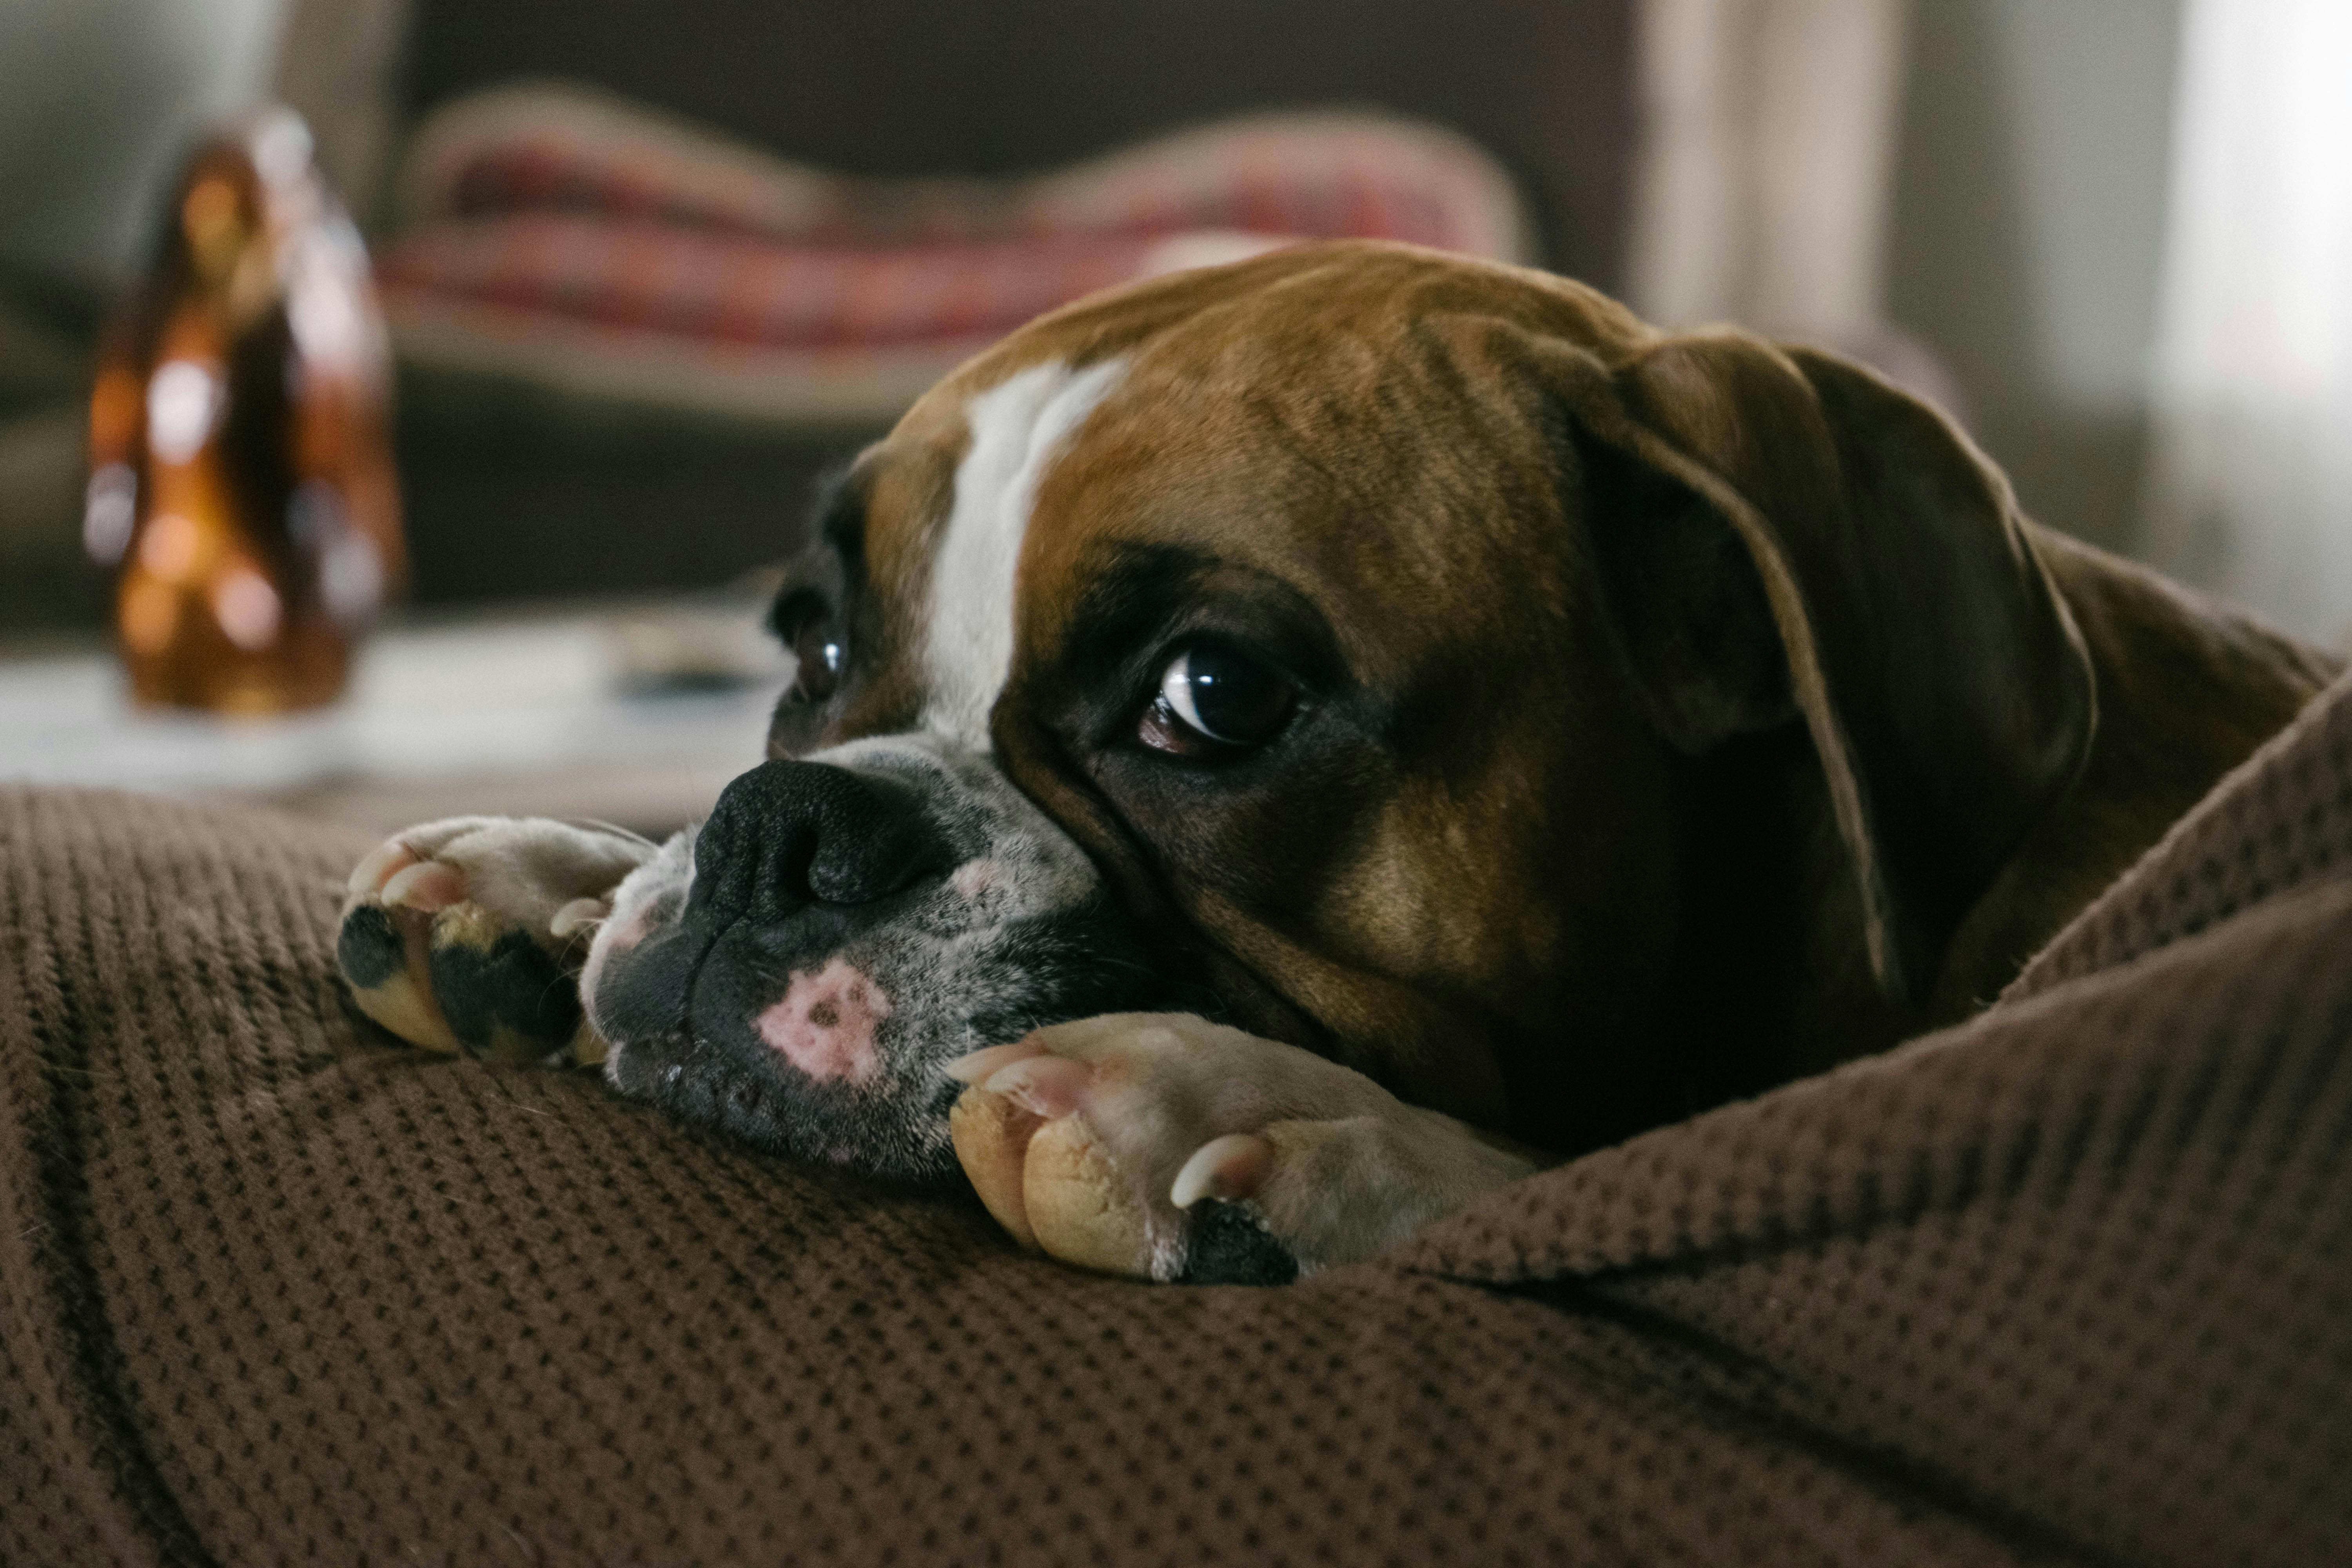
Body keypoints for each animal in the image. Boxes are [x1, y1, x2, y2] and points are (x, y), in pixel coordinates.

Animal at [332, 236, 2333, 1288]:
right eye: (812, 643)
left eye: (1213, 696)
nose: (779, 833)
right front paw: (552, 873)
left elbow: (1591, 1168)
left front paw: (1269, 1115)